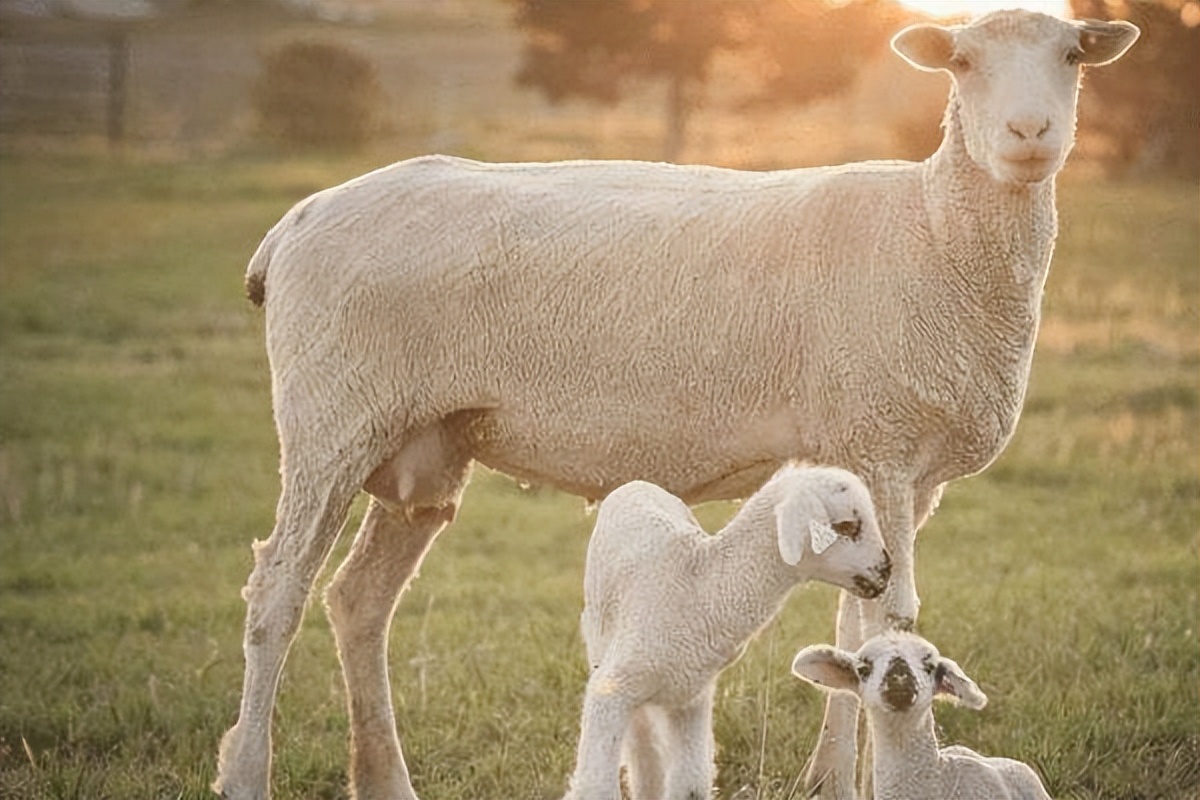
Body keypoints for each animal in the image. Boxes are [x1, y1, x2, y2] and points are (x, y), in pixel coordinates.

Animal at [564, 462, 892, 800]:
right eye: (847, 526)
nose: (886, 571)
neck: (698, 588)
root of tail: (638, 484)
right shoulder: (611, 691)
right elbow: (596, 786)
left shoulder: (691, 700)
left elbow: (691, 785)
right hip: (599, 639)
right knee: (642, 746)